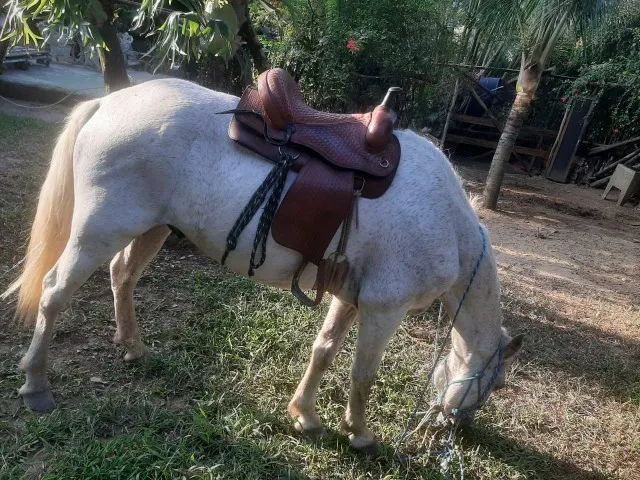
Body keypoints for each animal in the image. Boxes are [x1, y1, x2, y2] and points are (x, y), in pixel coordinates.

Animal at [2, 78, 522, 454]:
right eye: (495, 385)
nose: (453, 431)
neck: (447, 221)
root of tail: (108, 103)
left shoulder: (352, 297)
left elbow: (324, 350)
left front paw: (305, 416)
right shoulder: (384, 309)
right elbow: (362, 375)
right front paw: (360, 435)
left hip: (151, 228)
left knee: (121, 276)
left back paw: (133, 347)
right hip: (98, 231)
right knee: (54, 293)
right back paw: (36, 385)